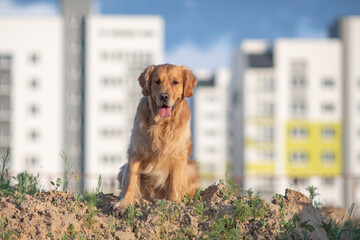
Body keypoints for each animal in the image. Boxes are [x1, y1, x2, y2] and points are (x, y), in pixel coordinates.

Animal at [112, 63, 198, 214]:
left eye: (175, 82)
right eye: (157, 81)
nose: (164, 96)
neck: (161, 124)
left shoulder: (178, 155)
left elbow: (175, 184)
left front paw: (173, 205)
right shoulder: (136, 151)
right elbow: (131, 181)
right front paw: (124, 204)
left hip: (192, 169)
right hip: (123, 169)